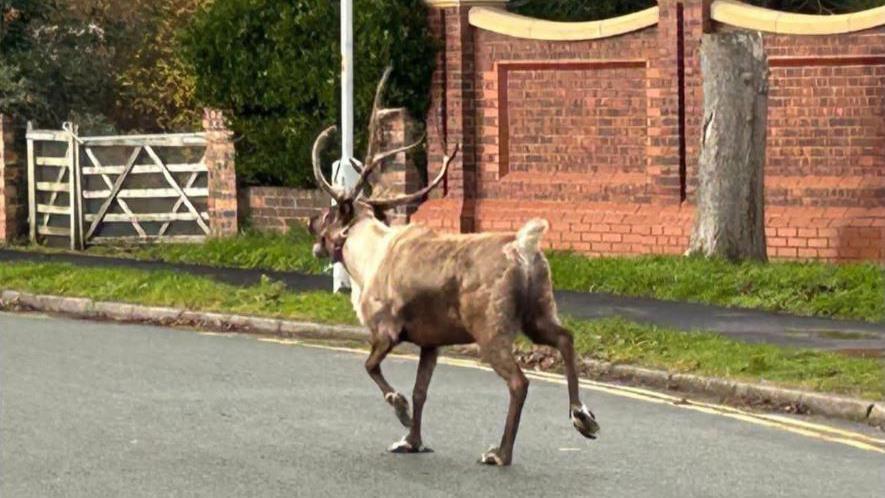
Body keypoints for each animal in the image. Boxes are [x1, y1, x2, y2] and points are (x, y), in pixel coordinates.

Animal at [307, 68, 600, 466]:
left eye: (329, 214)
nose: (310, 225)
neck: (364, 260)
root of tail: (524, 247)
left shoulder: (386, 329)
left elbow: (371, 367)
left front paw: (399, 410)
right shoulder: (431, 341)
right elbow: (421, 391)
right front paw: (411, 440)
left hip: (491, 328)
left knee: (519, 381)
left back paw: (500, 452)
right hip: (537, 312)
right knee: (566, 338)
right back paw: (582, 416)